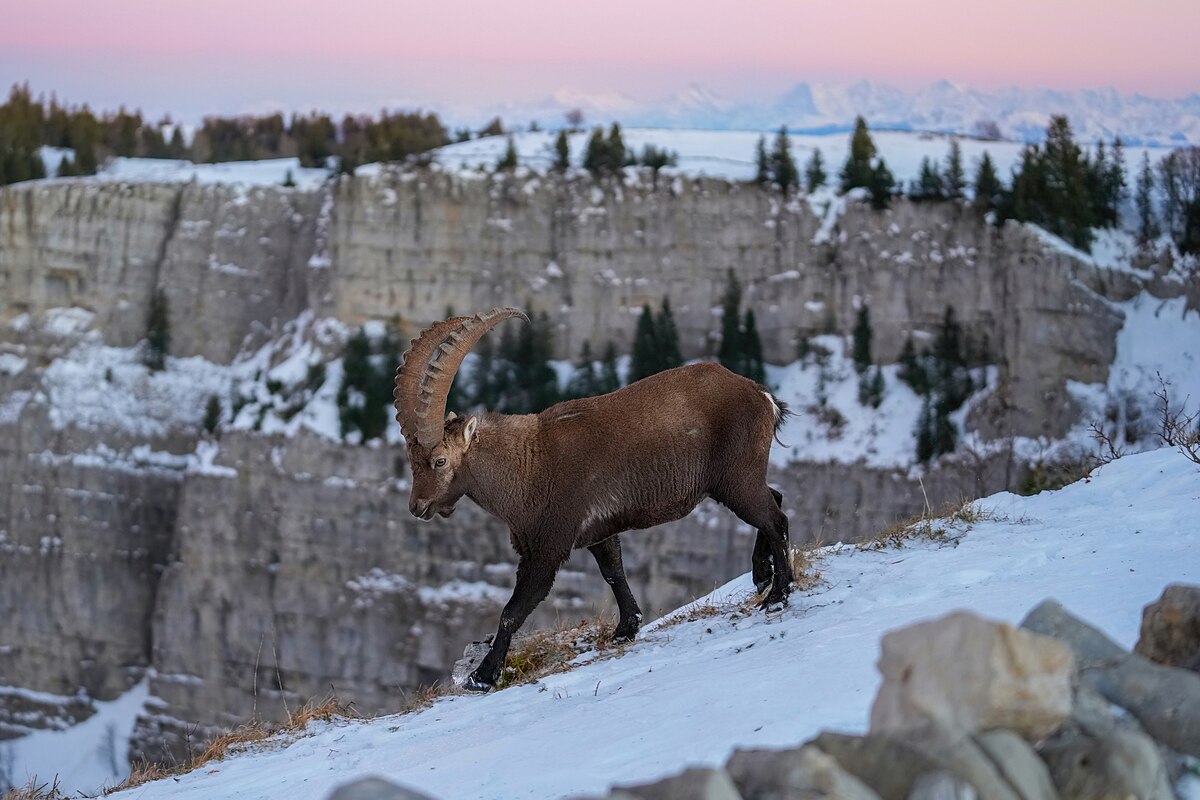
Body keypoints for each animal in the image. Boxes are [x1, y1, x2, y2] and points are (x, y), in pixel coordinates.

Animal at [393, 307, 794, 692]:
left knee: (775, 519)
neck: (528, 464)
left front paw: (483, 675)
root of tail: (759, 393)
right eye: (411, 460)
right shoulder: (598, 531)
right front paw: (627, 628)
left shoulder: (548, 546)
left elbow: (513, 610)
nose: (417, 506)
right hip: (737, 478)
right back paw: (762, 574)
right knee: (775, 498)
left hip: (734, 478)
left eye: (439, 461)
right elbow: (613, 572)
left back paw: (778, 594)